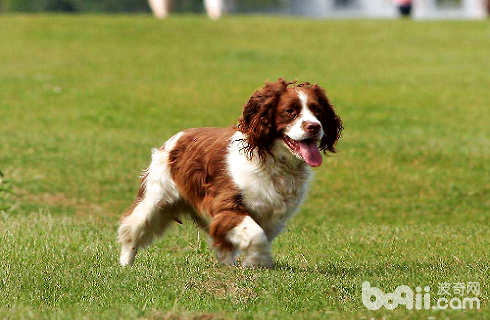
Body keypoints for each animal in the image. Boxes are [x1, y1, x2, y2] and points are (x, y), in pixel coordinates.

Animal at [117, 79, 342, 268]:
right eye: (290, 111)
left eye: (318, 110)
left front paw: (251, 264)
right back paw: (125, 264)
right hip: (156, 200)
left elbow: (255, 236)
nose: (314, 126)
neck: (275, 163)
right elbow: (256, 235)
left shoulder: (273, 215)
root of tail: (178, 137)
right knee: (132, 229)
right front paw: (259, 262)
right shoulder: (227, 206)